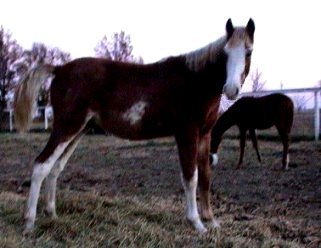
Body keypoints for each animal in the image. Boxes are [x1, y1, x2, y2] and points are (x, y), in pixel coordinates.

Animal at [14, 18, 255, 234]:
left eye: (248, 51)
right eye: (225, 52)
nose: (231, 89)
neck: (195, 81)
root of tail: (60, 68)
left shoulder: (205, 134)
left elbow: (205, 175)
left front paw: (211, 221)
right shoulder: (186, 133)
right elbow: (191, 177)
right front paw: (197, 223)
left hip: (78, 130)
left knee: (55, 168)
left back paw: (52, 214)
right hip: (66, 127)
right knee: (41, 165)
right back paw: (29, 224)